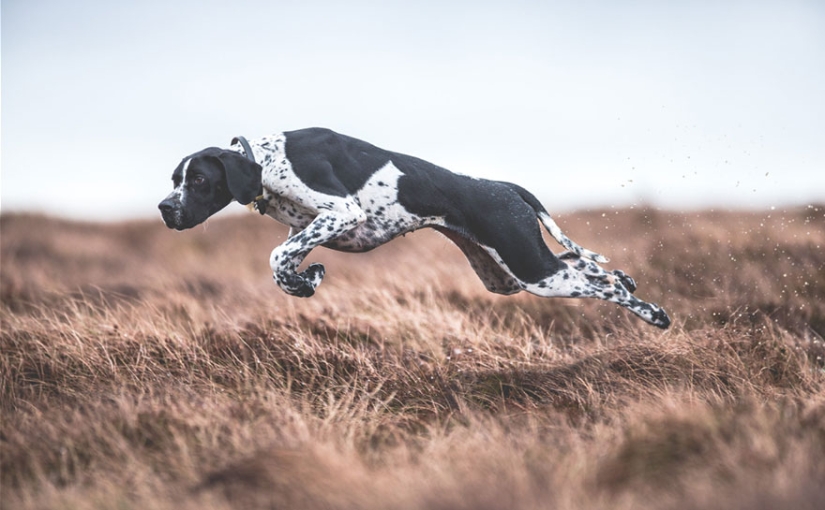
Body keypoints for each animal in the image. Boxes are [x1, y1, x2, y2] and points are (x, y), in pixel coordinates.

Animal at [159, 125, 668, 328]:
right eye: (173, 181)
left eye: (198, 180)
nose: (164, 208)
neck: (265, 159)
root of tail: (503, 186)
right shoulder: (310, 227)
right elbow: (285, 262)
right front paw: (306, 280)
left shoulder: (342, 212)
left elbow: (276, 257)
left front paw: (306, 280)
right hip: (506, 272)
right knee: (591, 268)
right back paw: (624, 277)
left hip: (531, 270)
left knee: (602, 285)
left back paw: (653, 313)